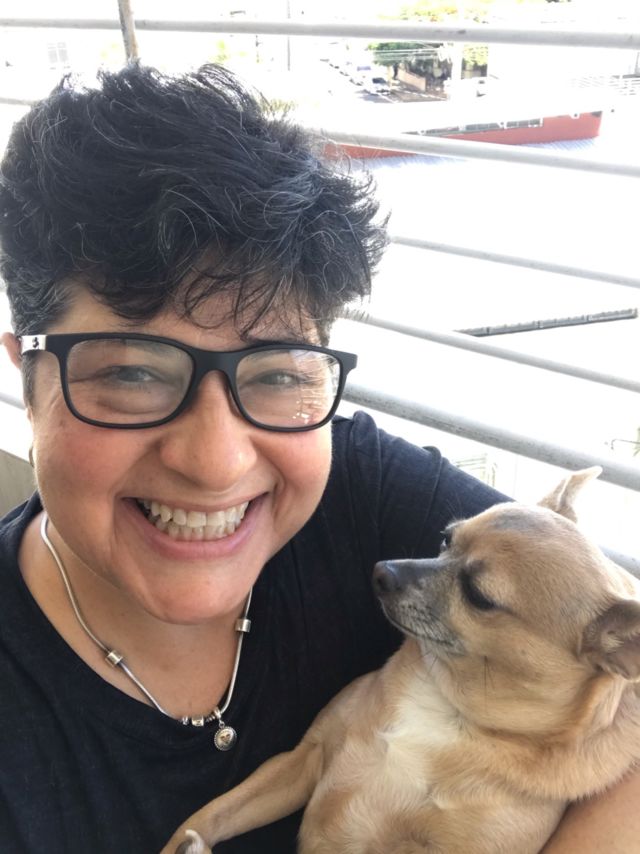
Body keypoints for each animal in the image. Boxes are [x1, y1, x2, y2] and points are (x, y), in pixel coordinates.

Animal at [161, 468, 640, 854]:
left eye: (479, 596)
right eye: (446, 539)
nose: (382, 572)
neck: (450, 707)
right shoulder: (299, 762)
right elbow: (207, 816)